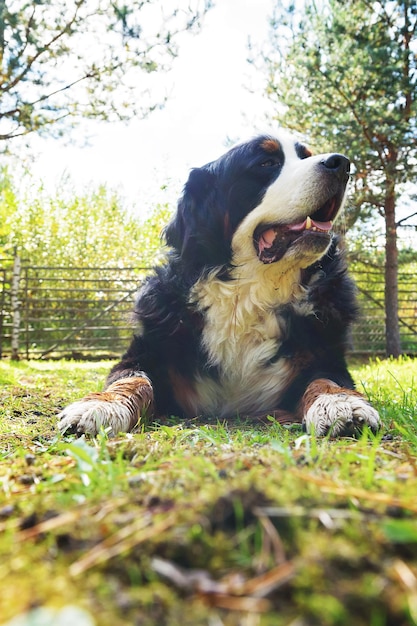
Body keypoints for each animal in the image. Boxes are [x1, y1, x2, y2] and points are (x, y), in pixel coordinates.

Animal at [58, 130, 380, 434]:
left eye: (306, 156)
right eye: (267, 163)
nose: (341, 163)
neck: (247, 294)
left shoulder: (323, 355)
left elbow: (325, 379)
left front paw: (340, 403)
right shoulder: (150, 352)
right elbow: (132, 378)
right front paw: (100, 405)